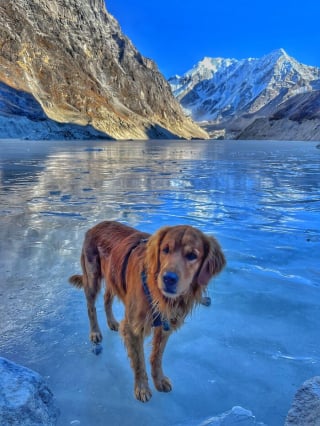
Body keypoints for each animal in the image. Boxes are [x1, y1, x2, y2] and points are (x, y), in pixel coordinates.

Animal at [69, 221, 225, 402]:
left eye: (192, 255)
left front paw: (159, 380)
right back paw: (95, 332)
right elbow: (139, 361)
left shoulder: (165, 326)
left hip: (113, 276)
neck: (160, 295)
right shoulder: (134, 327)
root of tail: (95, 226)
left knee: (107, 298)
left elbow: (157, 356)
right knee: (91, 307)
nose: (168, 278)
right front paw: (142, 388)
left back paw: (112, 322)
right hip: (92, 277)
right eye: (165, 250)